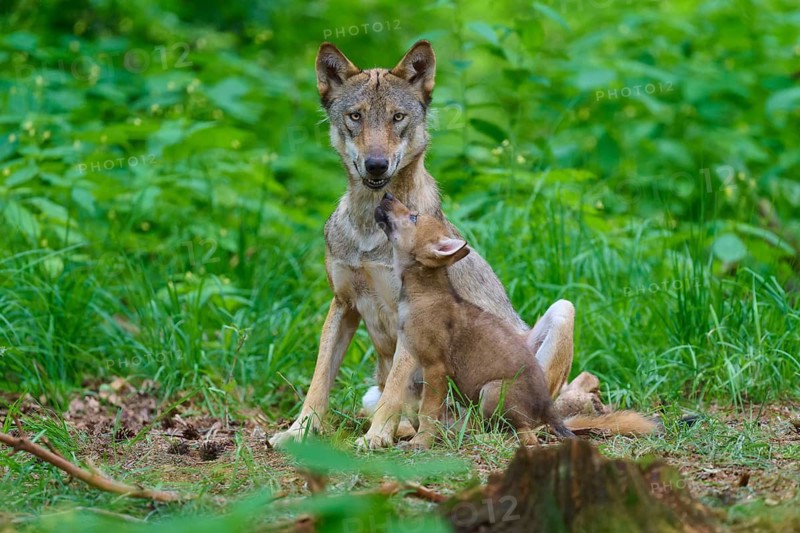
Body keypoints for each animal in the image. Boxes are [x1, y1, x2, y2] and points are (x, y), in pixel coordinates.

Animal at [270, 40, 582, 449]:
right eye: (355, 116)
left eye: (398, 117)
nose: (375, 164)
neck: (370, 231)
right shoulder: (343, 305)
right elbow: (319, 382)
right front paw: (298, 432)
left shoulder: (409, 320)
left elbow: (393, 389)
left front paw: (375, 438)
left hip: (562, 312)